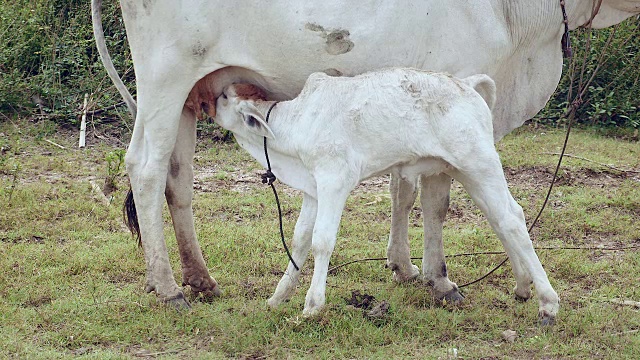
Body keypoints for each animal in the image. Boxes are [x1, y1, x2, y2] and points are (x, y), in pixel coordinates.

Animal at [215, 69, 560, 322]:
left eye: (224, 97)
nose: (209, 100)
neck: (298, 123)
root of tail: (466, 83)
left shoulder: (334, 180)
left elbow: (321, 241)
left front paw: (312, 305)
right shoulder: (313, 189)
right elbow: (300, 238)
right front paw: (279, 296)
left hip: (480, 163)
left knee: (512, 218)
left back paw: (548, 302)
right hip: (465, 169)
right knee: (499, 219)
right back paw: (522, 286)